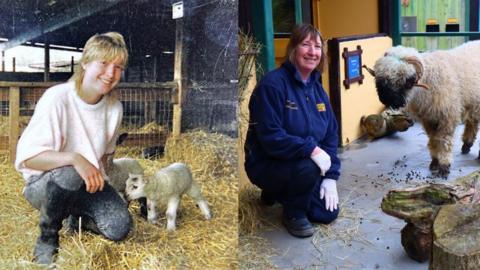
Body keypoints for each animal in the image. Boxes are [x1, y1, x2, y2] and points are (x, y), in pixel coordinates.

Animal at [366, 39, 480, 176]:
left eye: (405, 80)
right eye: (381, 81)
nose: (388, 100)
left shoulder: (447, 117)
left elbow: (444, 141)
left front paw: (444, 166)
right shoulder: (428, 118)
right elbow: (434, 139)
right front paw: (435, 162)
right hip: (473, 102)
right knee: (473, 122)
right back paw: (467, 145)